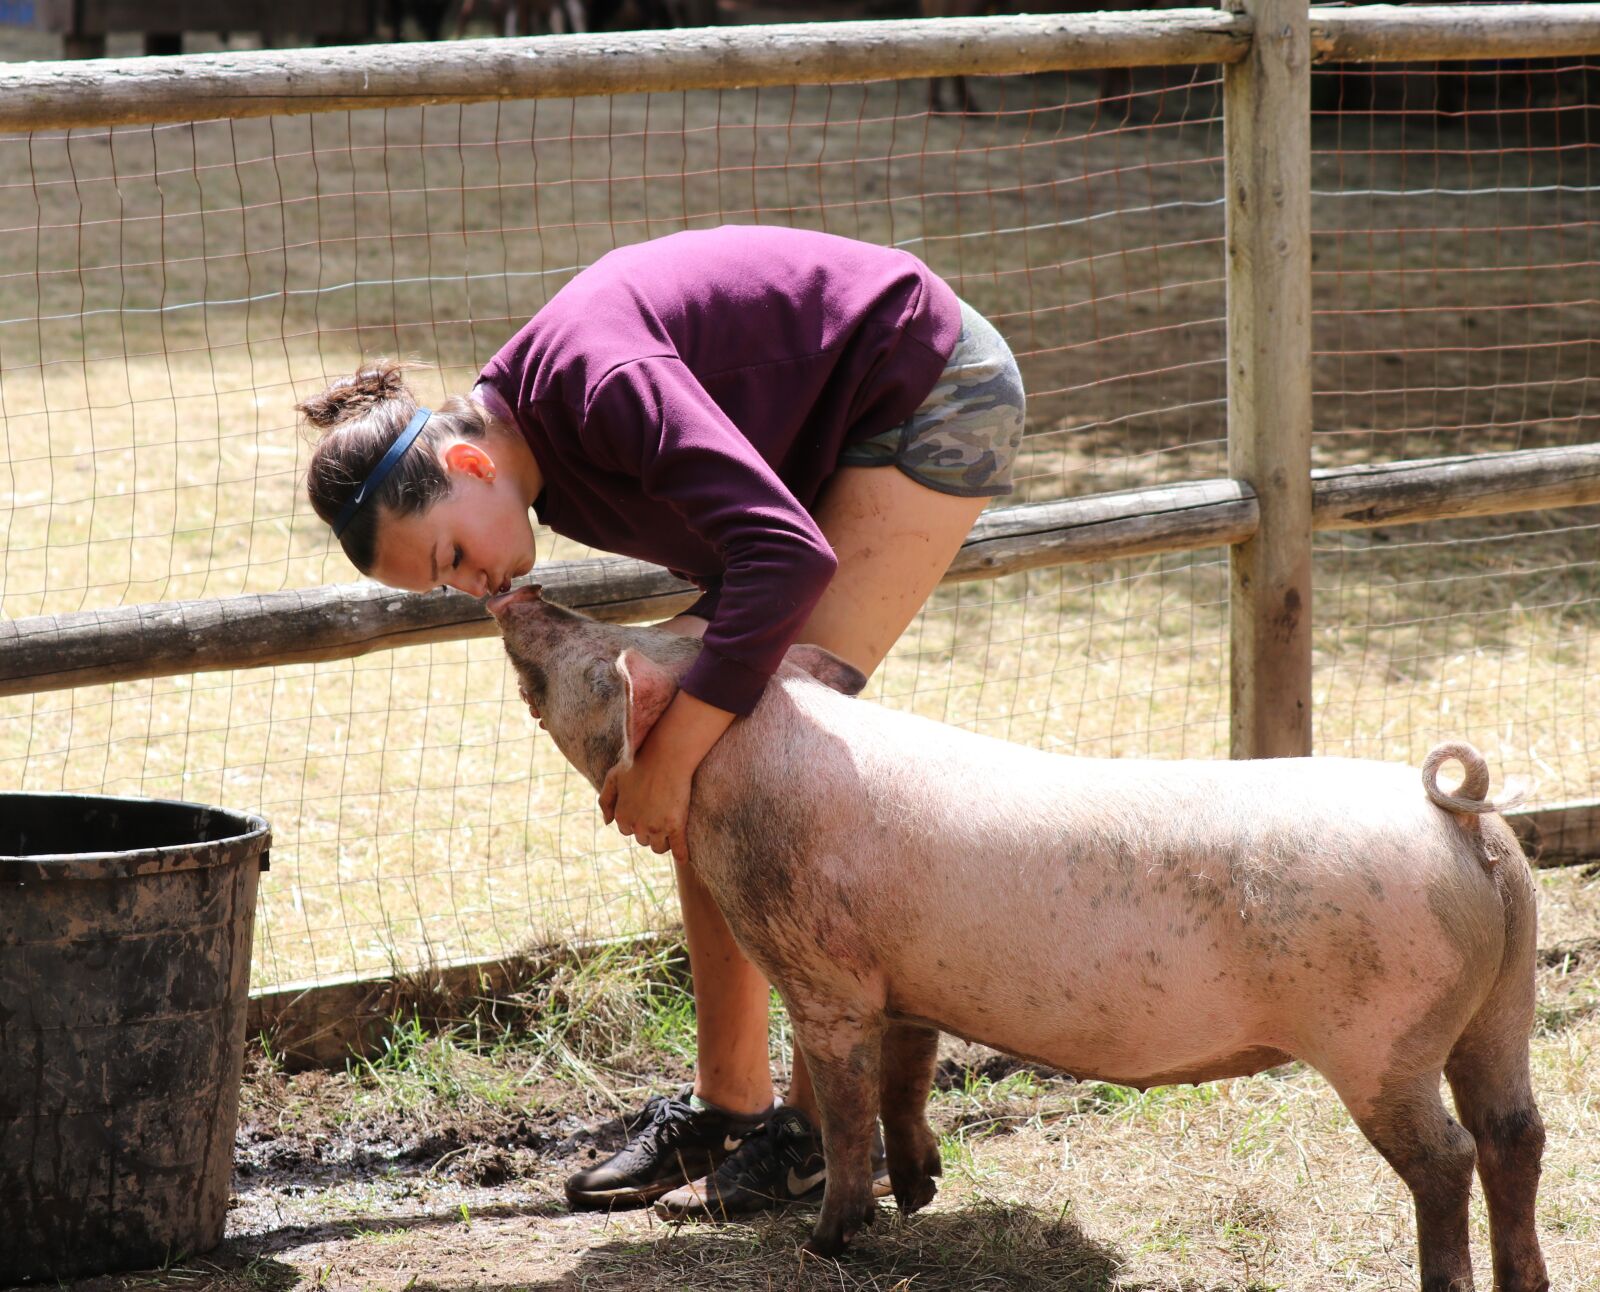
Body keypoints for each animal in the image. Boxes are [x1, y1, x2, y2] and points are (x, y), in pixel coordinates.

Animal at [487, 584, 1547, 1292]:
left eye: (607, 653)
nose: (525, 591)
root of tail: (1458, 817)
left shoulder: (824, 975)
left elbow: (847, 1102)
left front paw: (827, 1242)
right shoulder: (905, 982)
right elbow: (909, 1078)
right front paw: (921, 1191)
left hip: (1382, 1040)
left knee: (1449, 1156)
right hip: (1503, 1006)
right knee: (1516, 1135)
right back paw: (1525, 1280)